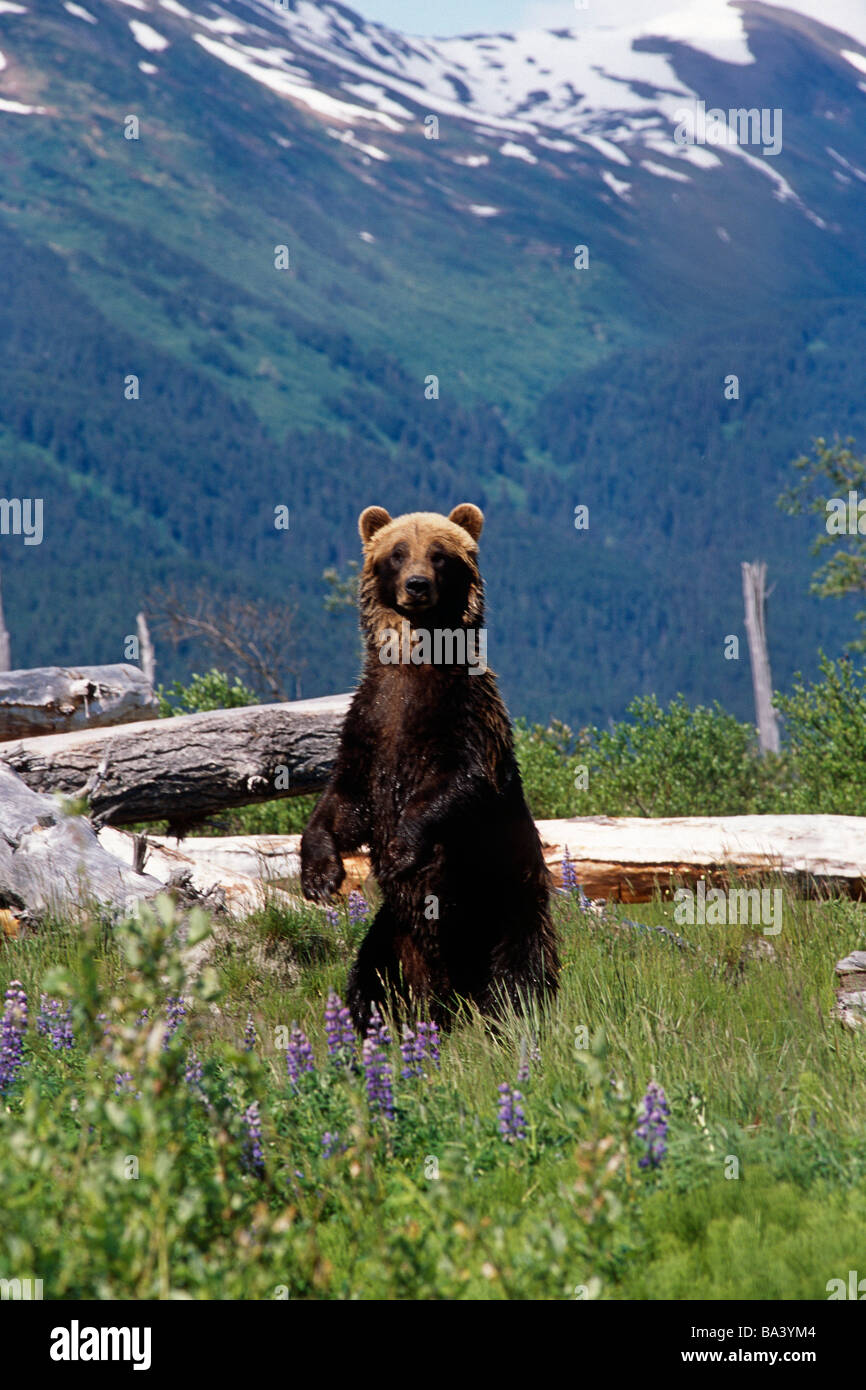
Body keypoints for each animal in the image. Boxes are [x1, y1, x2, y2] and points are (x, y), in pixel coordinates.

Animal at [300, 502, 559, 1032]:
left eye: (440, 554)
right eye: (398, 552)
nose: (417, 584)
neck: (414, 664)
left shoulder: (466, 715)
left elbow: (461, 782)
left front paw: (400, 849)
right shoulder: (371, 724)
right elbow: (343, 803)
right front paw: (319, 875)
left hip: (507, 909)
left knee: (519, 976)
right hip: (391, 936)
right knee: (369, 977)